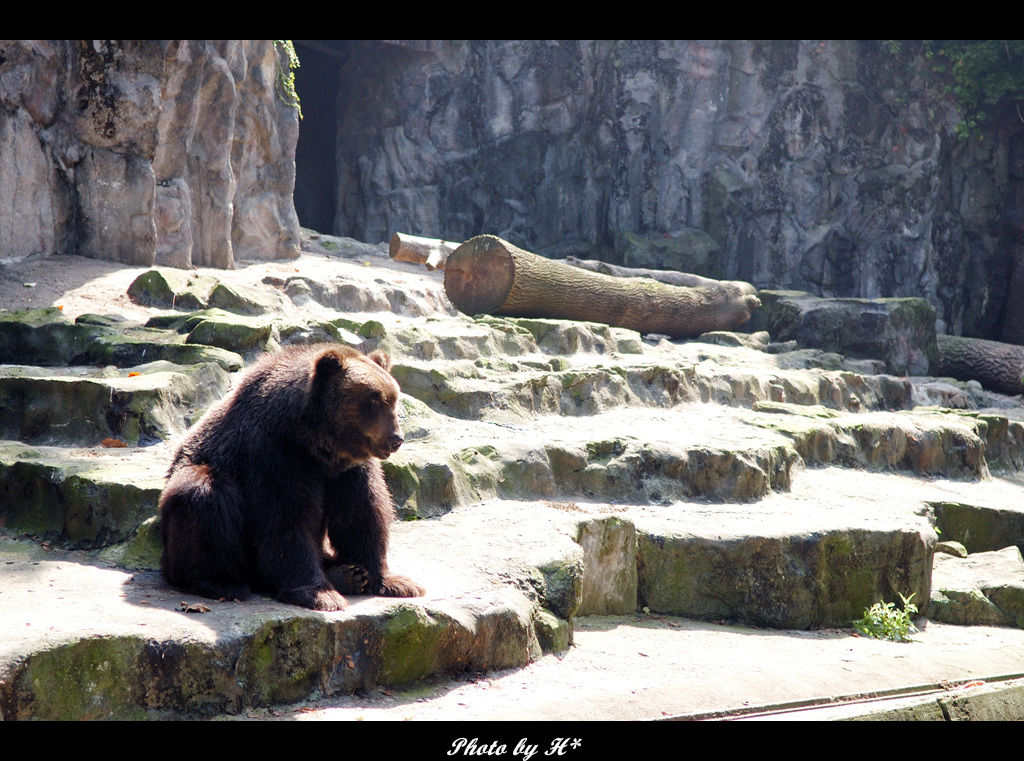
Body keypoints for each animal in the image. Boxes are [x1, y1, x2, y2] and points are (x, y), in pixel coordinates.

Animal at [154, 346, 423, 614]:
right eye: (373, 400)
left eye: (393, 399)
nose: (396, 439)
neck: (316, 444)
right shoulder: (275, 455)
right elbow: (287, 520)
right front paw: (320, 594)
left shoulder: (348, 470)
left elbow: (362, 514)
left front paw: (394, 582)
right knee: (202, 496)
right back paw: (221, 583)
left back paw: (346, 575)